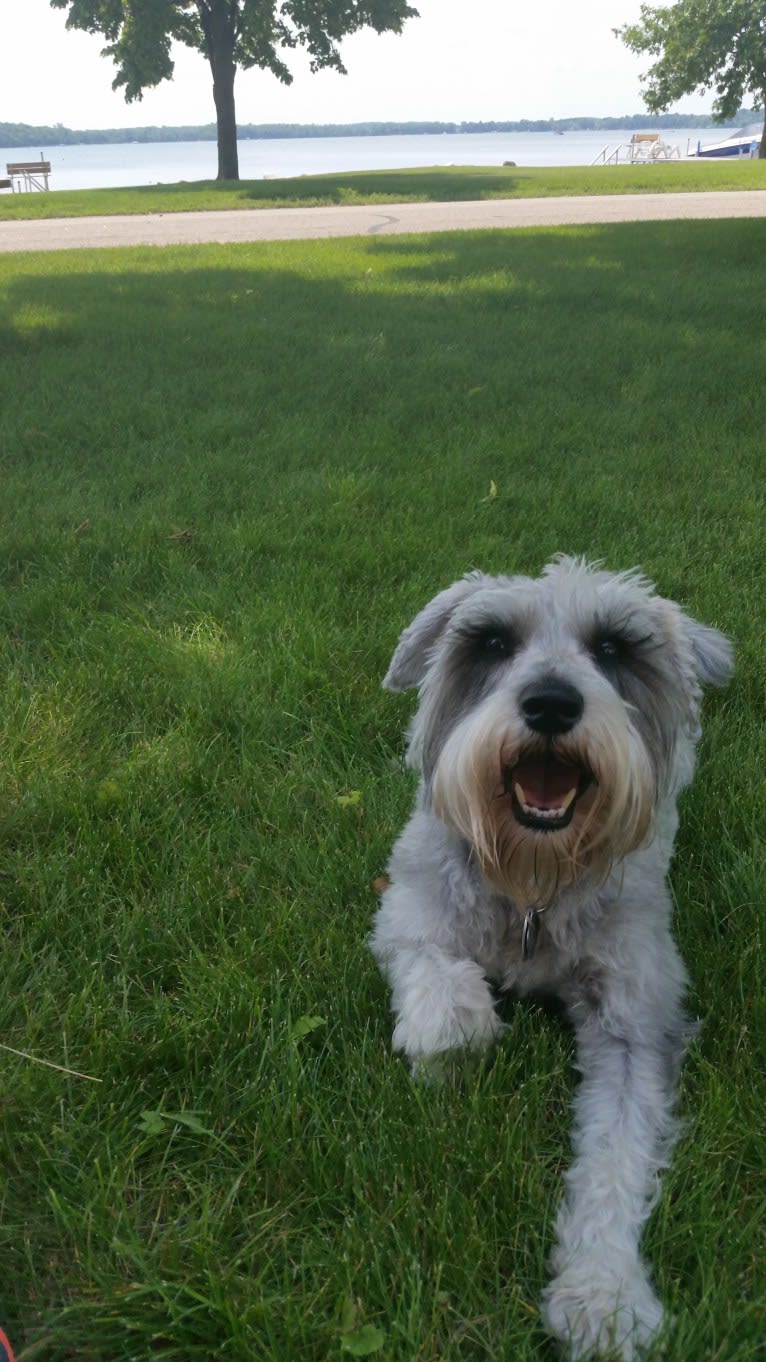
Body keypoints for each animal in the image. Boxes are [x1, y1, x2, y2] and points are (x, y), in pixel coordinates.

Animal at [368, 555, 725, 1362]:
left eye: (614, 649)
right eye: (493, 642)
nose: (552, 703)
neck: (533, 885)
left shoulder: (634, 1021)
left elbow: (617, 1155)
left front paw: (604, 1294)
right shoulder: (409, 908)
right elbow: (436, 979)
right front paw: (454, 1034)